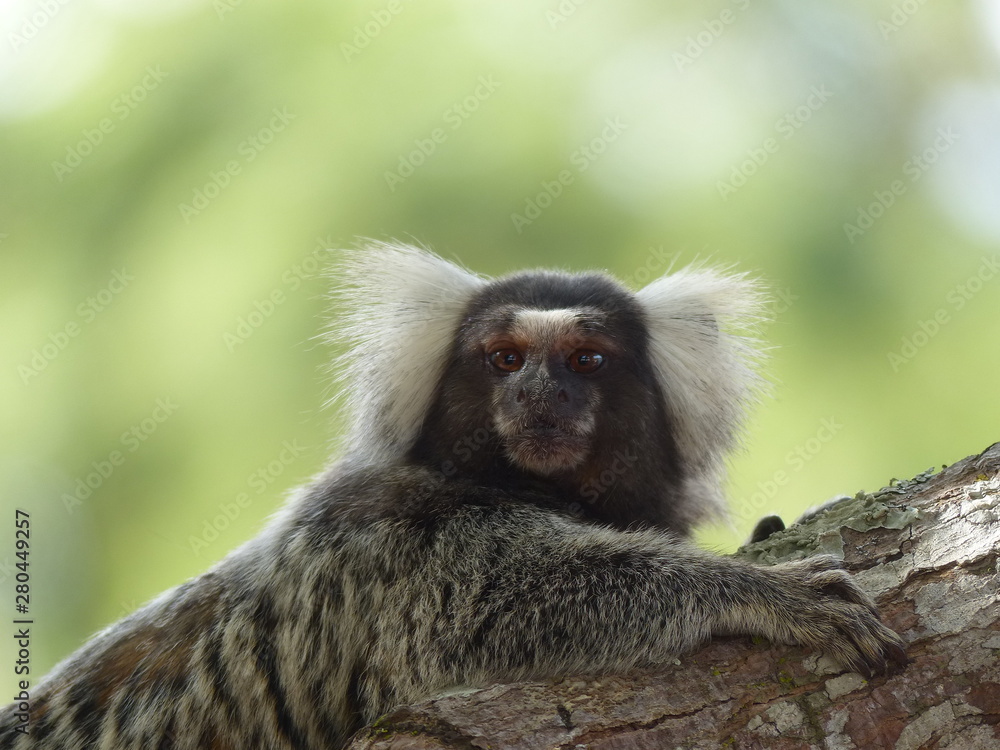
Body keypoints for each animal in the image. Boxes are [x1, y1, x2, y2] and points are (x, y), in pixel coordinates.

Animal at [0, 242, 906, 749]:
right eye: (504, 358)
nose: (540, 395)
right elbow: (490, 607)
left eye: (586, 361)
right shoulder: (384, 540)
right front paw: (763, 590)